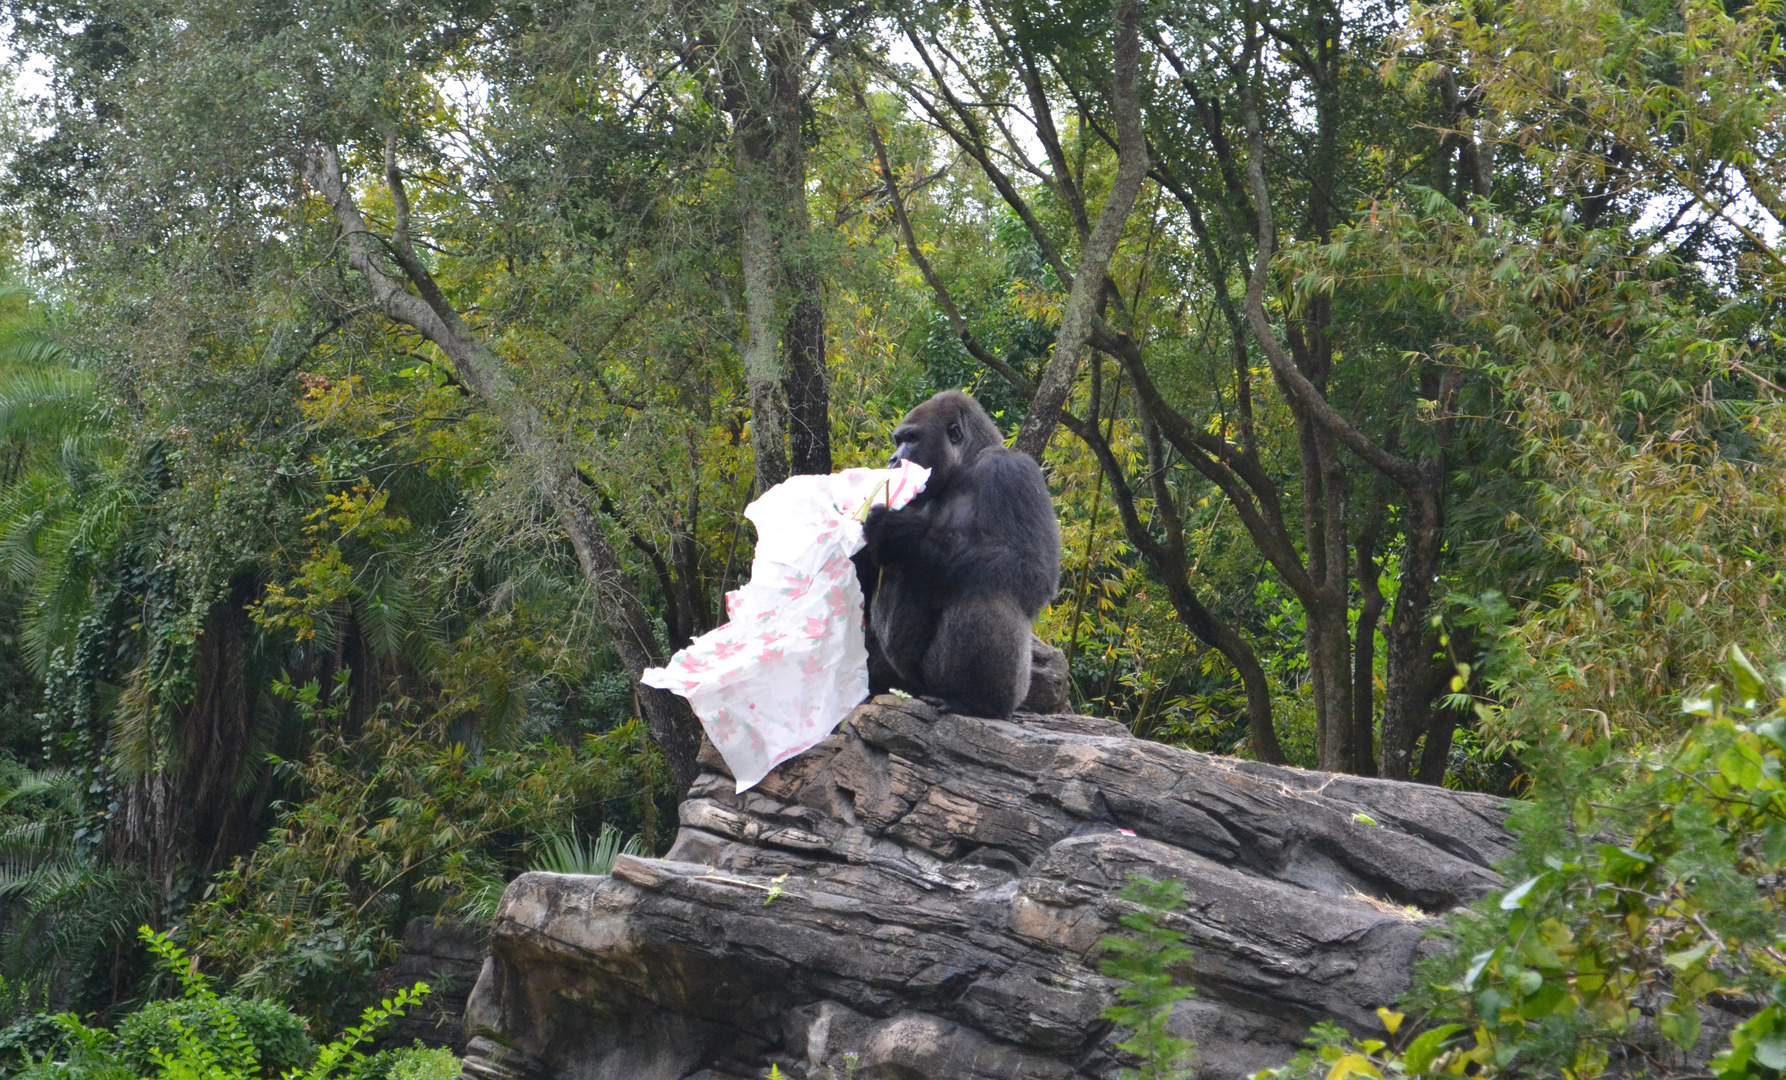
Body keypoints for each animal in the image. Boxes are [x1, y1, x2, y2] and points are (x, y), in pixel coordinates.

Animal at [853, 387, 1057, 717]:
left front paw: (903, 535)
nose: (893, 460)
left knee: (986, 587)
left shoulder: (1012, 471)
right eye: (898, 441)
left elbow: (1032, 568)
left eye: (912, 439)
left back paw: (974, 701)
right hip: (904, 682)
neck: (963, 469)